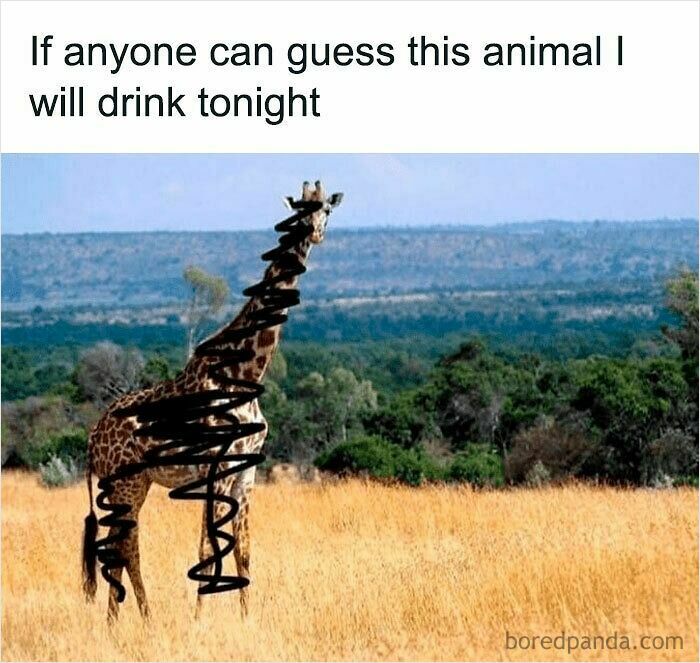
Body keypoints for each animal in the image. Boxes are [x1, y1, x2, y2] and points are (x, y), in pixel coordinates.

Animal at [82, 181, 343, 621]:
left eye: (326, 209)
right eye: (298, 209)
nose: (314, 233)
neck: (246, 374)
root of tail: (92, 437)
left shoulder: (246, 474)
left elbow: (244, 551)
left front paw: (246, 618)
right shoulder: (215, 471)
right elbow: (208, 546)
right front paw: (198, 620)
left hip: (137, 484)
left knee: (123, 547)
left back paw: (133, 622)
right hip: (125, 483)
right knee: (123, 547)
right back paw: (134, 621)